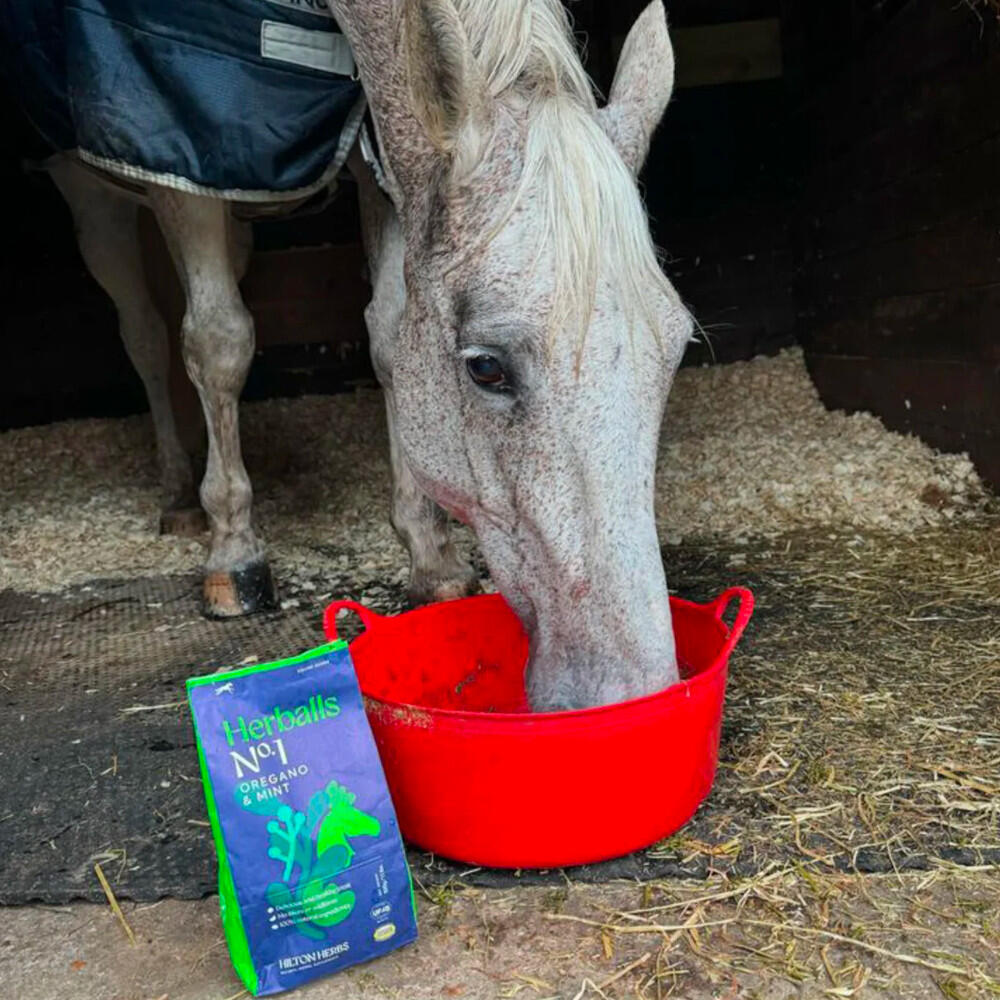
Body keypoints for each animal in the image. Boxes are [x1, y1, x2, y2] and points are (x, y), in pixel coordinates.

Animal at [14, 0, 693, 710]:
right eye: (486, 367)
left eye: (673, 351)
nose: (632, 697)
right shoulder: (191, 156)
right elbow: (219, 342)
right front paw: (235, 552)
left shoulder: (387, 145)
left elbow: (390, 330)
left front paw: (428, 553)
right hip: (96, 192)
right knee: (147, 333)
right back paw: (181, 493)